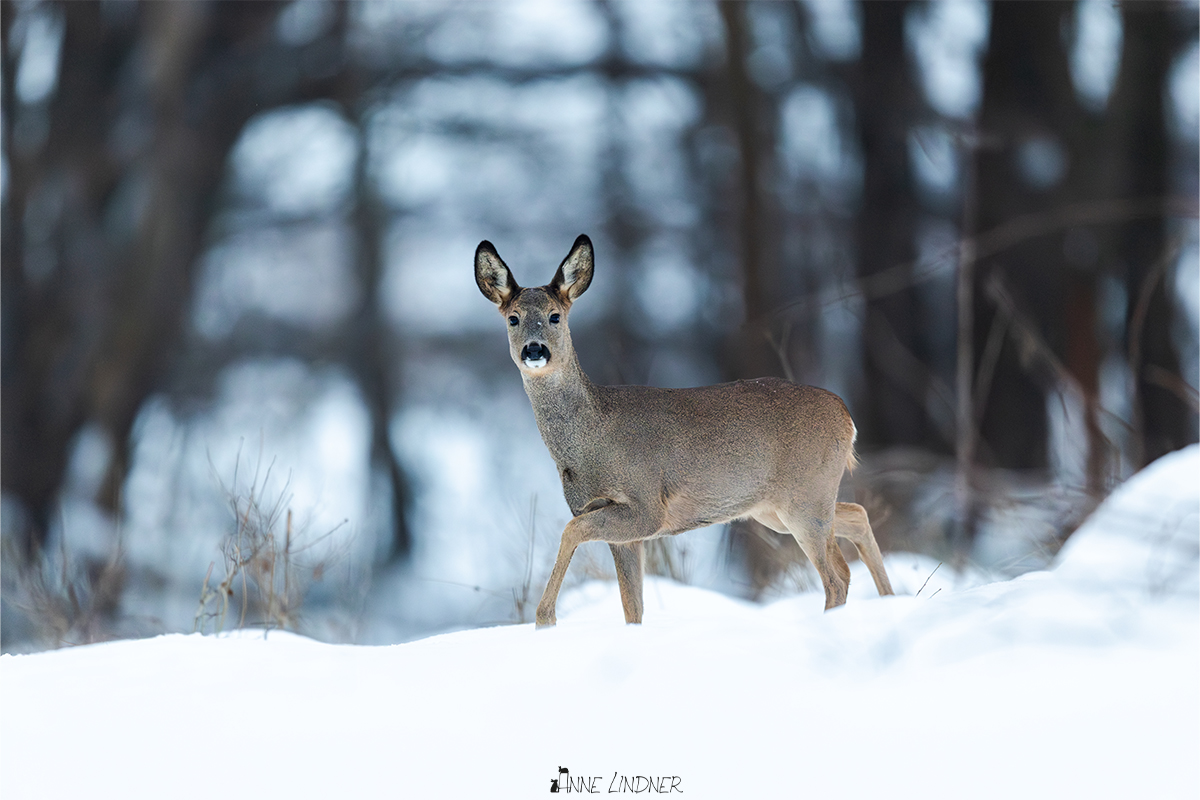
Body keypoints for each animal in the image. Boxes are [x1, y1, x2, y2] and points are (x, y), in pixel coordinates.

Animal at [475, 234, 894, 628]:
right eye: (513, 318)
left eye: (555, 316)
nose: (534, 350)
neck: (592, 439)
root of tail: (847, 417)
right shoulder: (620, 526)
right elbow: (632, 606)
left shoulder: (646, 506)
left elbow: (571, 531)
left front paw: (544, 619)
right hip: (776, 507)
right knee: (857, 517)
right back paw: (890, 601)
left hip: (804, 497)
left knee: (837, 575)